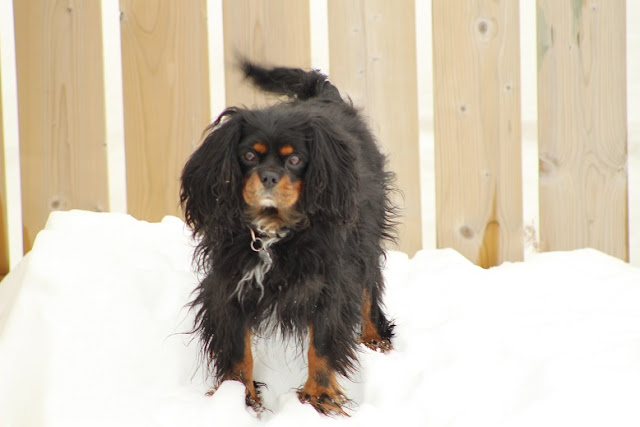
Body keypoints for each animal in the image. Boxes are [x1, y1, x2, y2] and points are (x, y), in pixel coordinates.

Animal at [180, 61, 398, 416]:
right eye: (249, 156)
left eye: (295, 160)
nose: (269, 177)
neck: (273, 231)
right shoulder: (230, 284)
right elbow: (238, 348)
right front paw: (241, 398)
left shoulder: (329, 283)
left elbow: (320, 344)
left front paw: (320, 396)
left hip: (364, 240)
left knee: (368, 289)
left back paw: (375, 339)